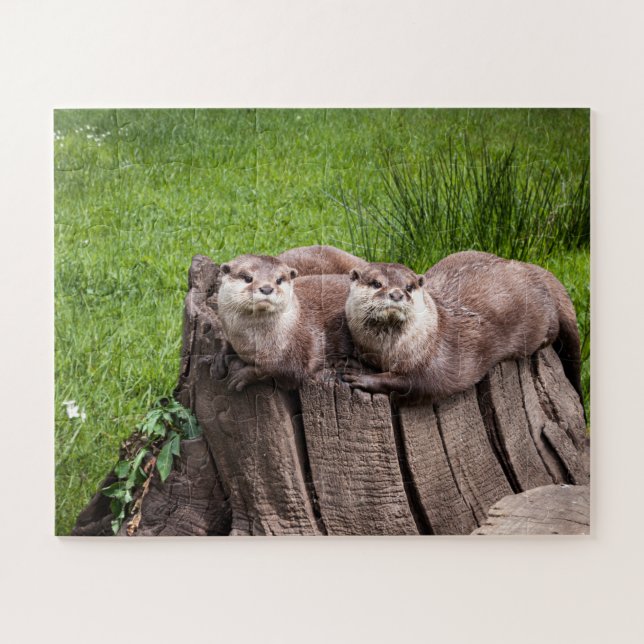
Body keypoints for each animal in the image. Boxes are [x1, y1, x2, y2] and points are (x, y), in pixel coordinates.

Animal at [215, 254, 353, 391]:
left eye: (279, 280)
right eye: (248, 278)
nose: (266, 288)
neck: (247, 343)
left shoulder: (297, 356)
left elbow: (271, 370)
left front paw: (243, 375)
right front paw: (219, 360)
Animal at [343, 251, 583, 404]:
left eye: (409, 287)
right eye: (376, 284)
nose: (396, 294)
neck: (386, 351)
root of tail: (532, 269)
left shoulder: (437, 360)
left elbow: (417, 383)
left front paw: (361, 376)